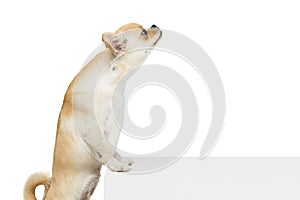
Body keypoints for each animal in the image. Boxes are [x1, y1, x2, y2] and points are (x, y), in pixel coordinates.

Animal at [24, 23, 162, 200]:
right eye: (144, 33)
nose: (154, 25)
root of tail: (48, 194)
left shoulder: (112, 125)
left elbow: (112, 147)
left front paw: (120, 160)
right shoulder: (92, 127)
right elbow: (105, 148)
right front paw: (117, 165)